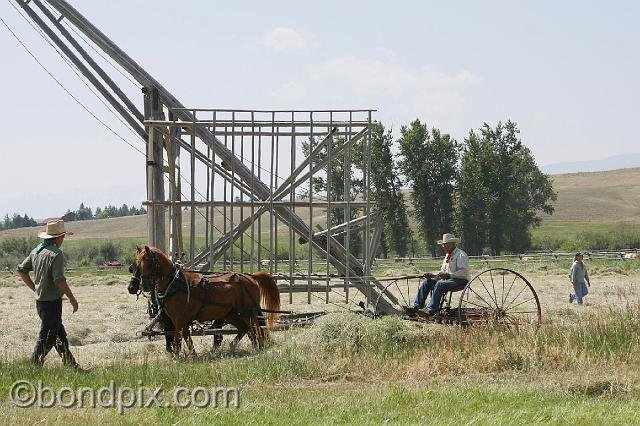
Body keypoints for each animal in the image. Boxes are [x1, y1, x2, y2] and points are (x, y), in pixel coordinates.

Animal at [130, 245, 280, 355]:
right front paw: (192, 355)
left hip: (247, 313)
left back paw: (259, 348)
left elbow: (178, 337)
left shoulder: (180, 318)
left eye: (148, 262)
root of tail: (251, 277)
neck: (175, 283)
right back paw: (232, 347)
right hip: (231, 314)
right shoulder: (178, 319)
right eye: (137, 264)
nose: (144, 285)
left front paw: (177, 356)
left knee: (257, 329)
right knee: (245, 328)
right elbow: (185, 336)